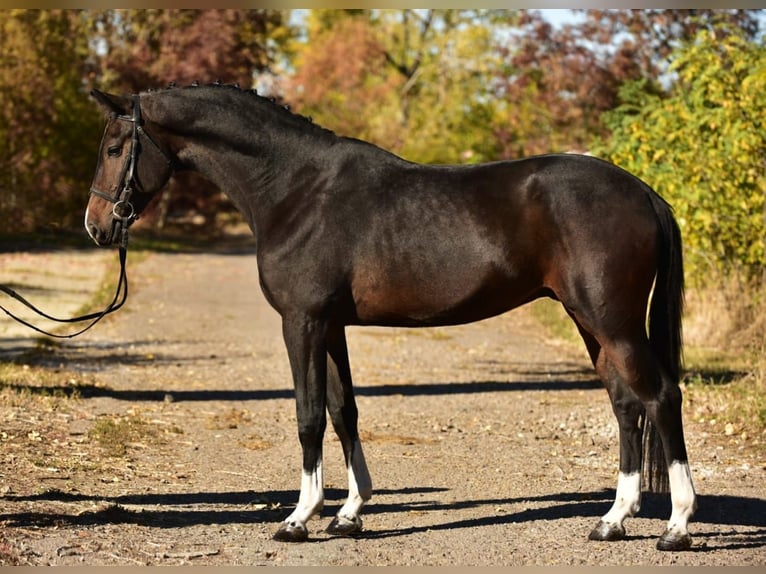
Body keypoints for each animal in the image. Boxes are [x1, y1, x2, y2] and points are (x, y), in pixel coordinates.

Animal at [84, 83, 696, 551]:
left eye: (114, 148)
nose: (96, 226)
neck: (296, 188)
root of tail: (643, 192)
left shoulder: (302, 323)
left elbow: (308, 416)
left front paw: (299, 518)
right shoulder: (330, 326)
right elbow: (343, 411)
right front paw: (349, 513)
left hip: (613, 322)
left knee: (661, 397)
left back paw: (677, 526)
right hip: (590, 322)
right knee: (626, 405)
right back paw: (613, 520)